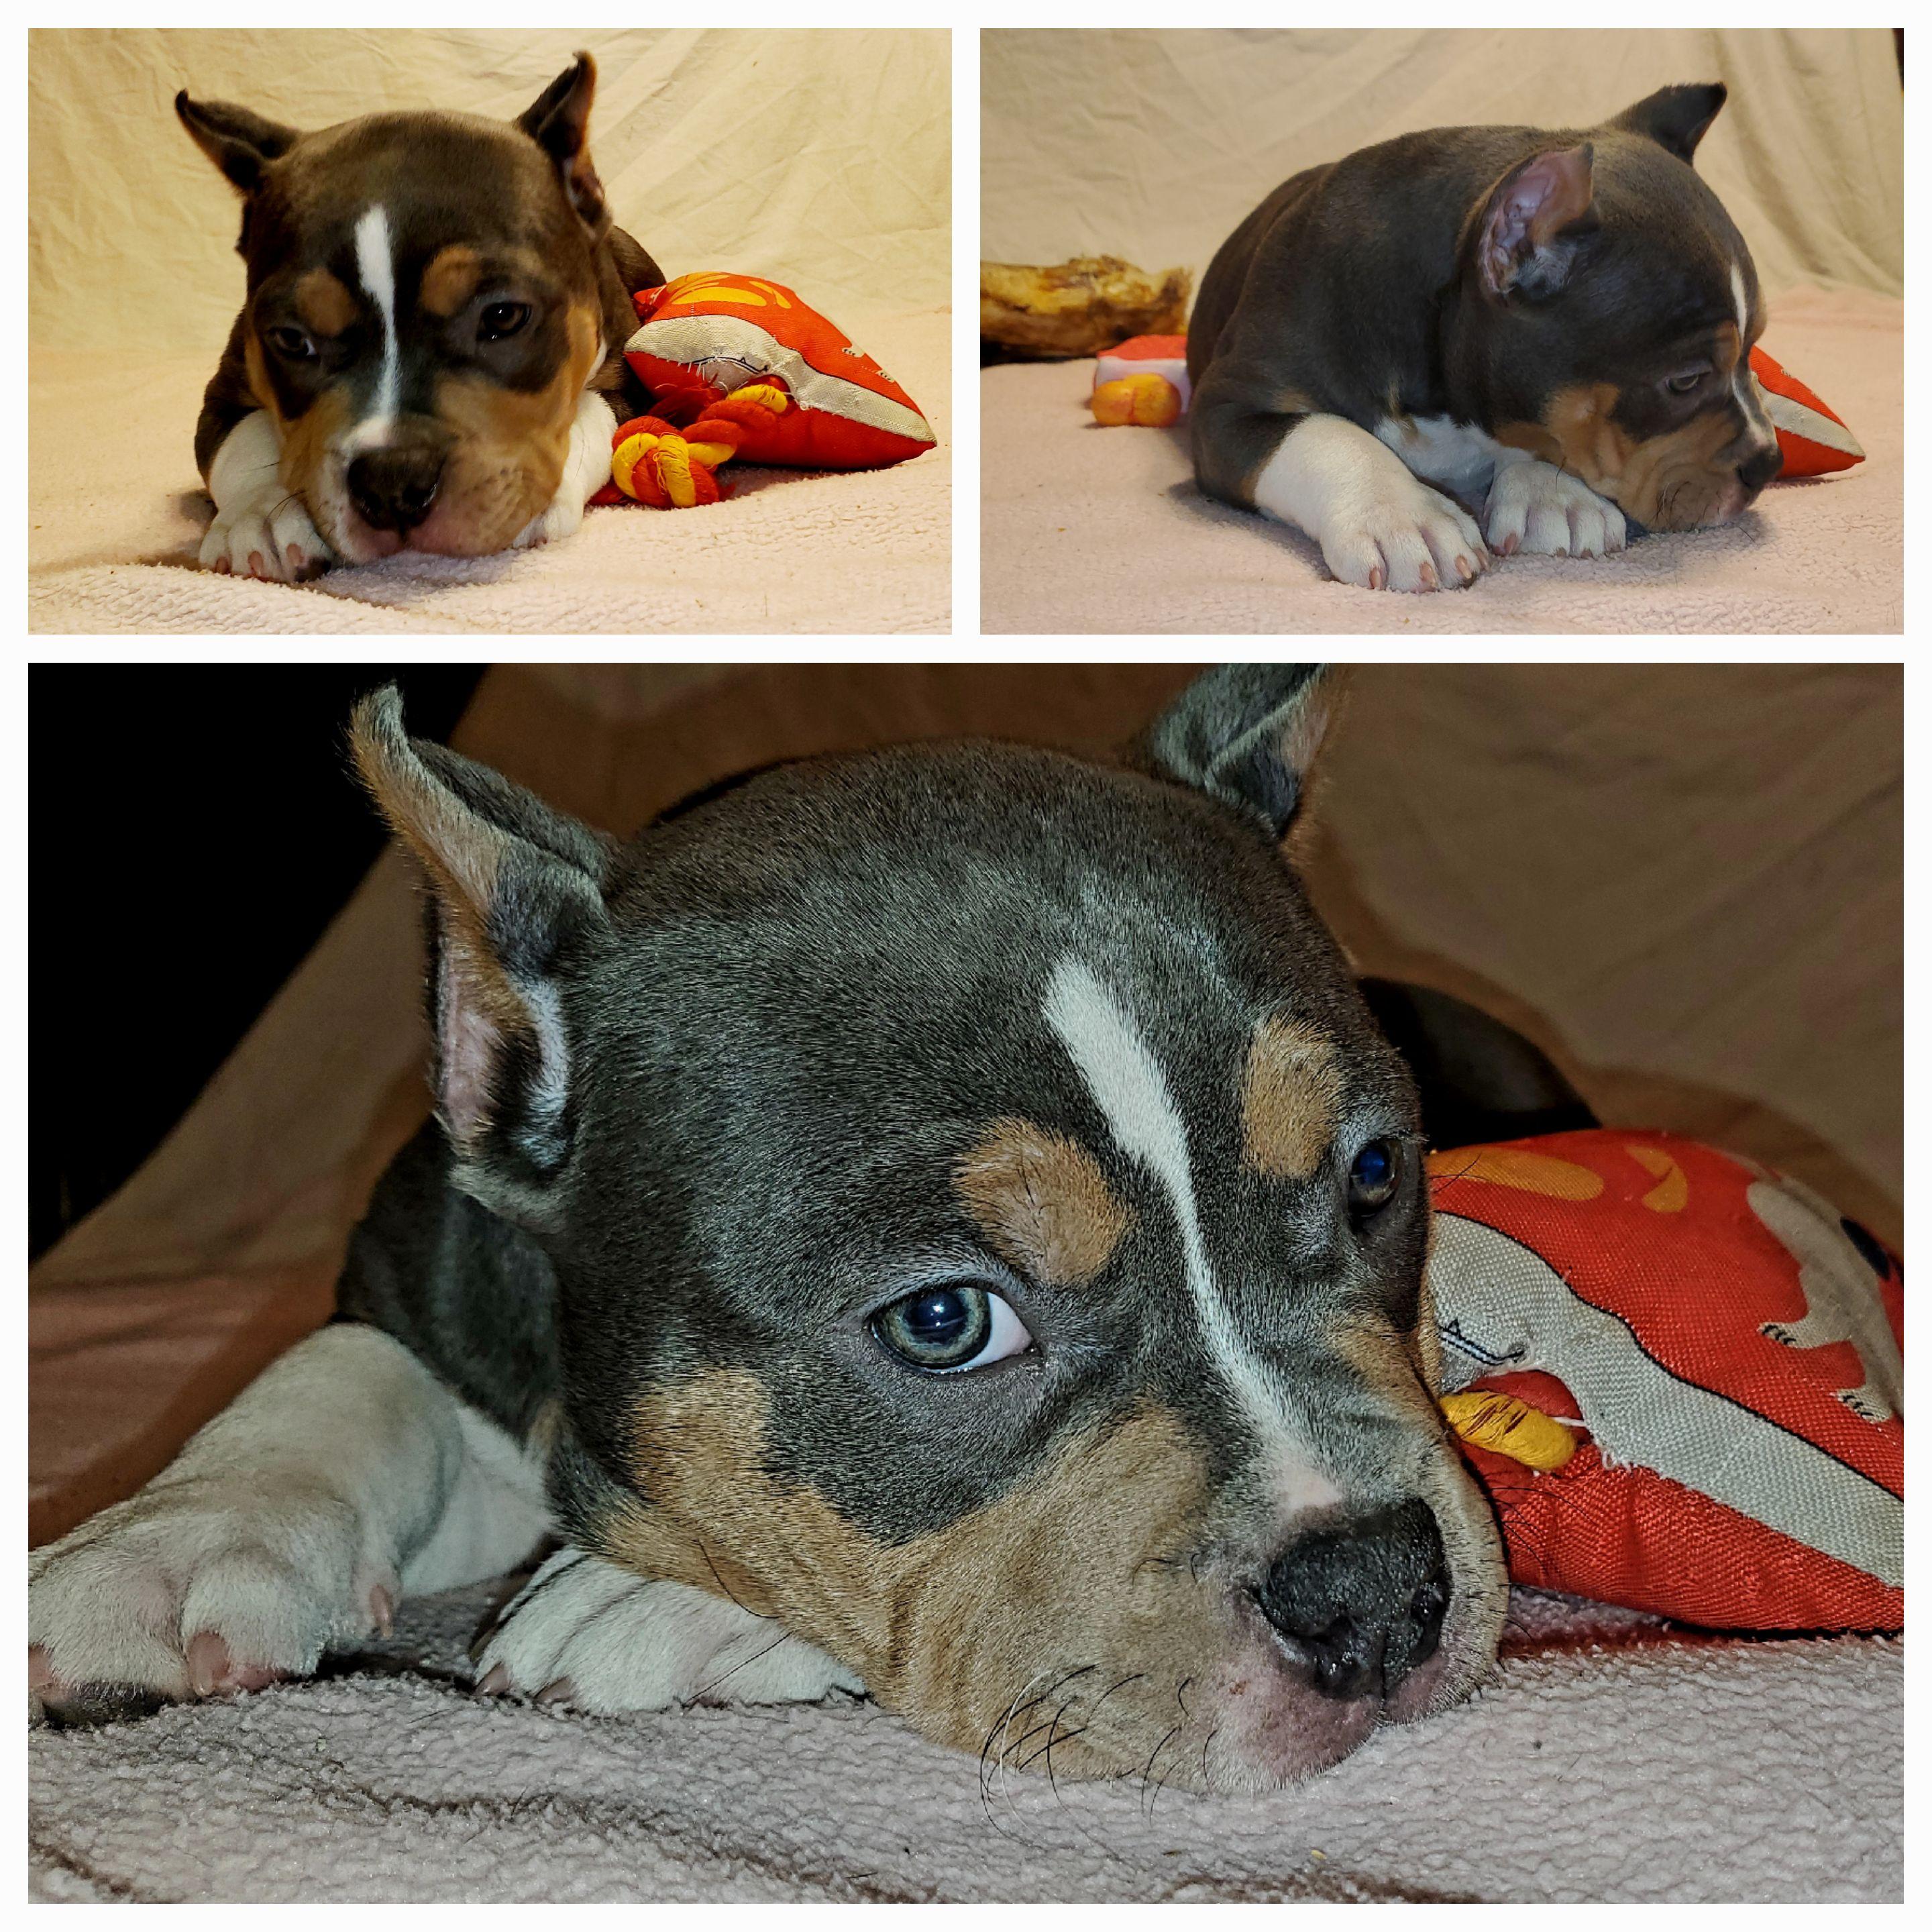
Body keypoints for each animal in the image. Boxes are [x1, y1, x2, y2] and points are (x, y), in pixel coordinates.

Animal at [31, 667, 1607, 1792]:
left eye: (1373, 1175)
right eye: (944, 1320)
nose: (1379, 1593)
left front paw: (665, 1604)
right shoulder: (436, 1275)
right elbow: (346, 1368)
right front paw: (166, 1545)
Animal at [175, 54, 660, 580]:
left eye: (504, 317)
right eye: (292, 340)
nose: (392, 480)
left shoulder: (625, 384)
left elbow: (591, 414)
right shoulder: (224, 387)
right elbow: (242, 441)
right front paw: (262, 512)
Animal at [1188, 85, 1784, 592]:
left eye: (1753, 348)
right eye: (1684, 381)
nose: (1768, 464)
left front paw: (1554, 495)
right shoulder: (1225, 407)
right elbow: (1324, 434)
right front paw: (1401, 514)